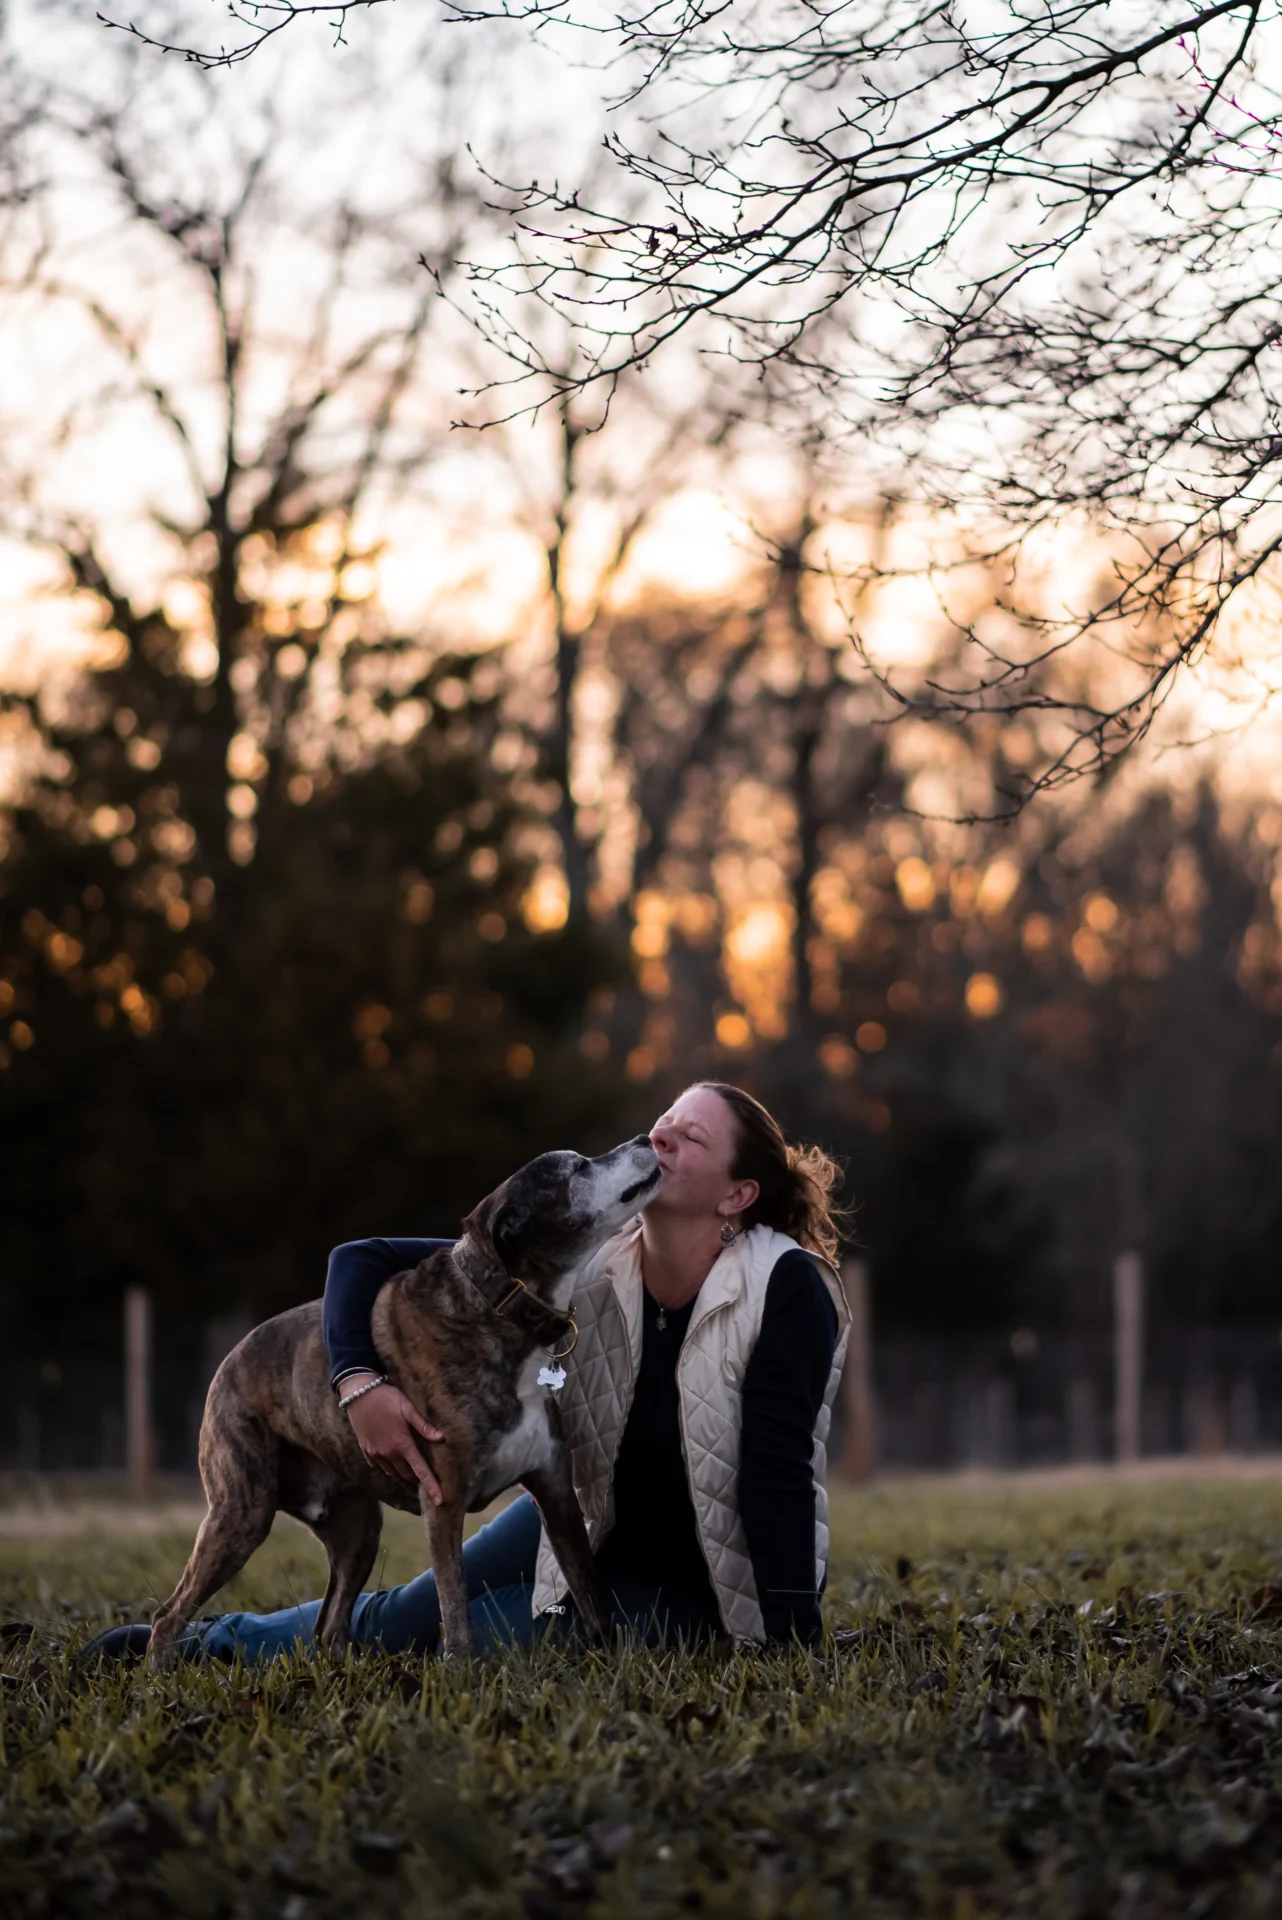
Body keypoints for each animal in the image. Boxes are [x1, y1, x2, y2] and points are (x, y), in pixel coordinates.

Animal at [150, 1136, 660, 1666]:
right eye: (578, 1168)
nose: (645, 1139)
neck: (499, 1307)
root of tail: (227, 1363)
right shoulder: (444, 1503)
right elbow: (455, 1609)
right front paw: (460, 1670)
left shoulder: (557, 1495)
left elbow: (591, 1594)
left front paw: (610, 1660)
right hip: (241, 1514)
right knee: (169, 1614)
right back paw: (158, 1671)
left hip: (357, 1532)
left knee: (329, 1625)